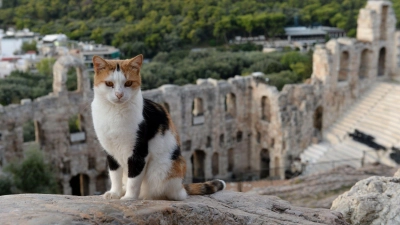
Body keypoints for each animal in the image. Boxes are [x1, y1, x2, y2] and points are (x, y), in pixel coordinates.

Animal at [90, 54, 225, 200]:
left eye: (128, 83)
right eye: (109, 84)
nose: (119, 95)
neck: (114, 112)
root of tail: (181, 186)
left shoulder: (139, 151)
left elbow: (134, 178)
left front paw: (129, 198)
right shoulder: (110, 151)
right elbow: (114, 175)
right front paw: (115, 193)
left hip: (163, 169)